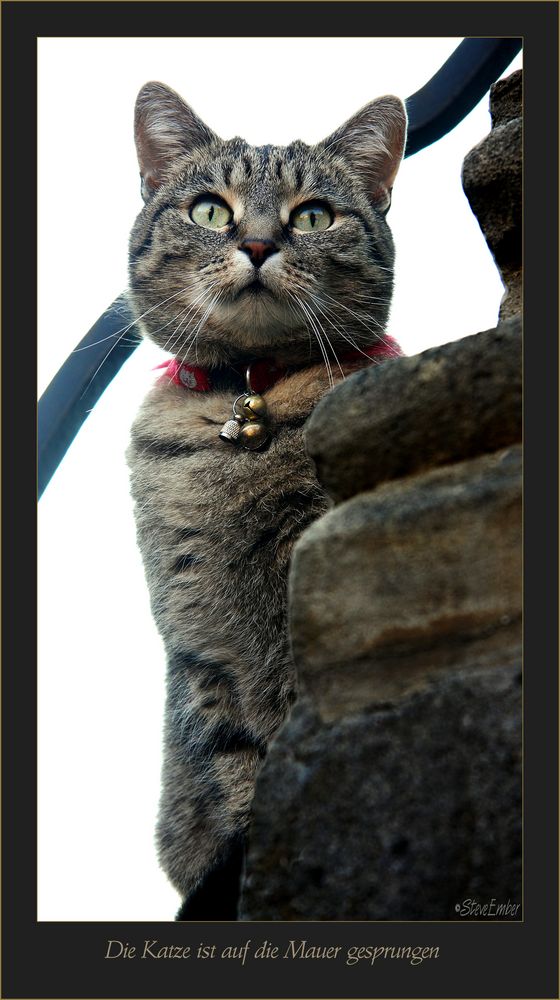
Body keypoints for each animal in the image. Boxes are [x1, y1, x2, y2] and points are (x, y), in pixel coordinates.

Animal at [127, 82, 406, 916]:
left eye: (312, 216)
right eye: (210, 210)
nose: (255, 245)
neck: (252, 401)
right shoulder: (205, 654)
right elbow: (241, 776)